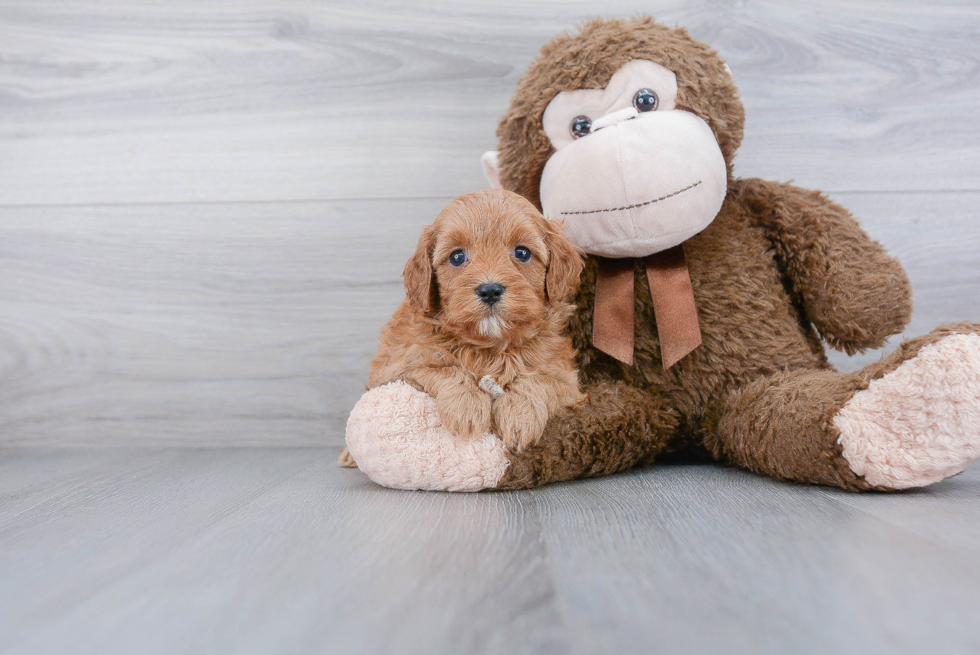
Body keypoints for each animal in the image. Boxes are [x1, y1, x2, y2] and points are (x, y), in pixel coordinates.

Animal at [344, 187, 580, 462]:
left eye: (522, 253)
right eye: (457, 257)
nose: (490, 290)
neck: (489, 347)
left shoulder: (567, 382)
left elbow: (540, 380)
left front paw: (519, 415)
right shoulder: (398, 367)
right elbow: (442, 369)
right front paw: (467, 407)